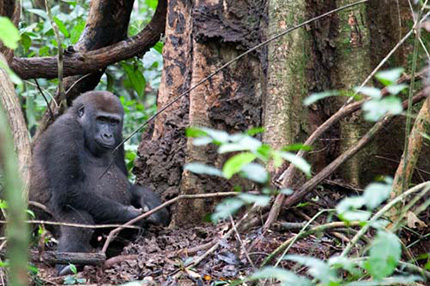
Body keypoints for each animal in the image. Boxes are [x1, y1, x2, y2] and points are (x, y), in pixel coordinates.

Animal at [29, 90, 168, 272]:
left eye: (113, 122)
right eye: (101, 120)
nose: (107, 135)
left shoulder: (119, 137)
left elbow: (128, 184)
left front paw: (151, 202)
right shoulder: (66, 130)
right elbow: (69, 190)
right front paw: (132, 215)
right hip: (42, 215)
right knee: (81, 221)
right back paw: (67, 266)